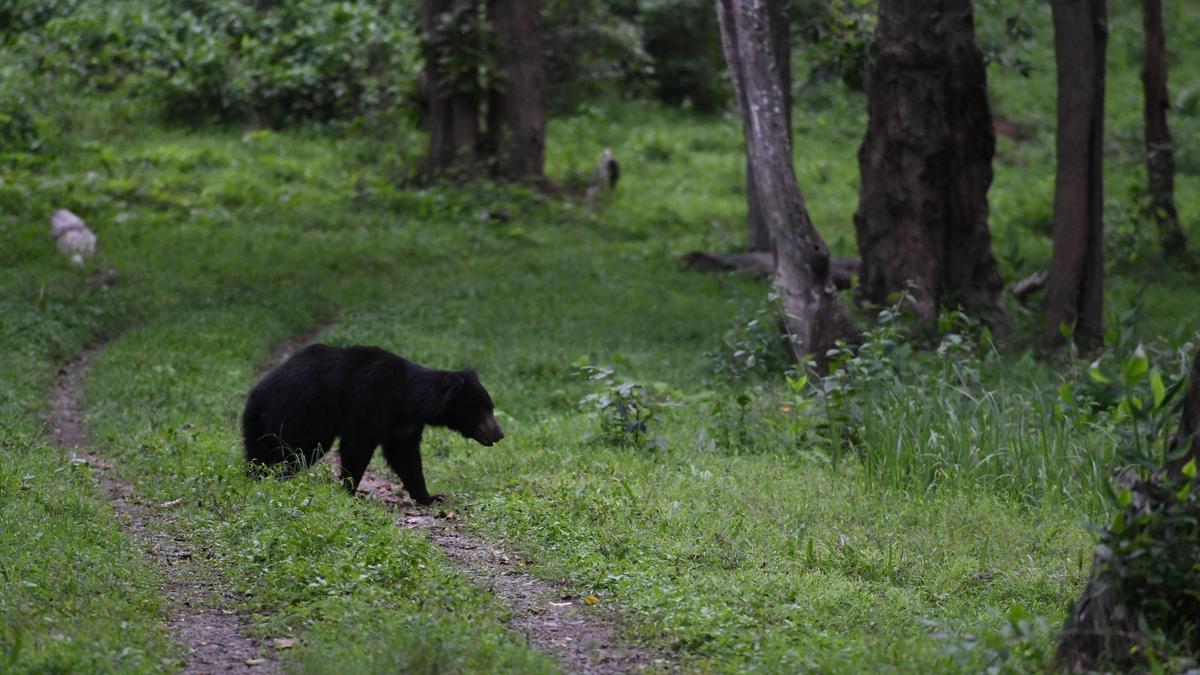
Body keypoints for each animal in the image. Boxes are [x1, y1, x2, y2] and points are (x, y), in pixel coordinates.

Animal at [241, 344, 503, 504]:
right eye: (483, 409)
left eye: (490, 407)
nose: (499, 434)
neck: (407, 401)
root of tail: (258, 395)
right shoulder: (371, 402)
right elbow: (357, 445)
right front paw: (349, 491)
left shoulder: (403, 426)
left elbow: (406, 458)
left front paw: (431, 497)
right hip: (301, 412)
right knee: (298, 451)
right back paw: (280, 478)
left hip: (260, 426)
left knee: (258, 454)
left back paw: (256, 477)